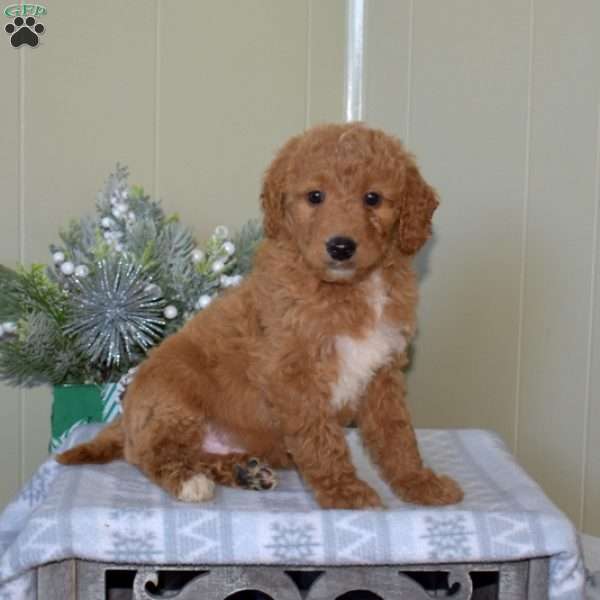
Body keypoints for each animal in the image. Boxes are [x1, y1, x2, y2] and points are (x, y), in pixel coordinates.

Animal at [57, 124, 464, 508]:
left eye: (373, 198)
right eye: (315, 196)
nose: (341, 246)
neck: (351, 288)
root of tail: (126, 418)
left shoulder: (383, 372)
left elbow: (397, 435)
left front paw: (419, 483)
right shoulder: (292, 374)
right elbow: (321, 440)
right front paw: (344, 491)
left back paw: (244, 471)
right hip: (171, 402)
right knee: (150, 454)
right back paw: (190, 481)